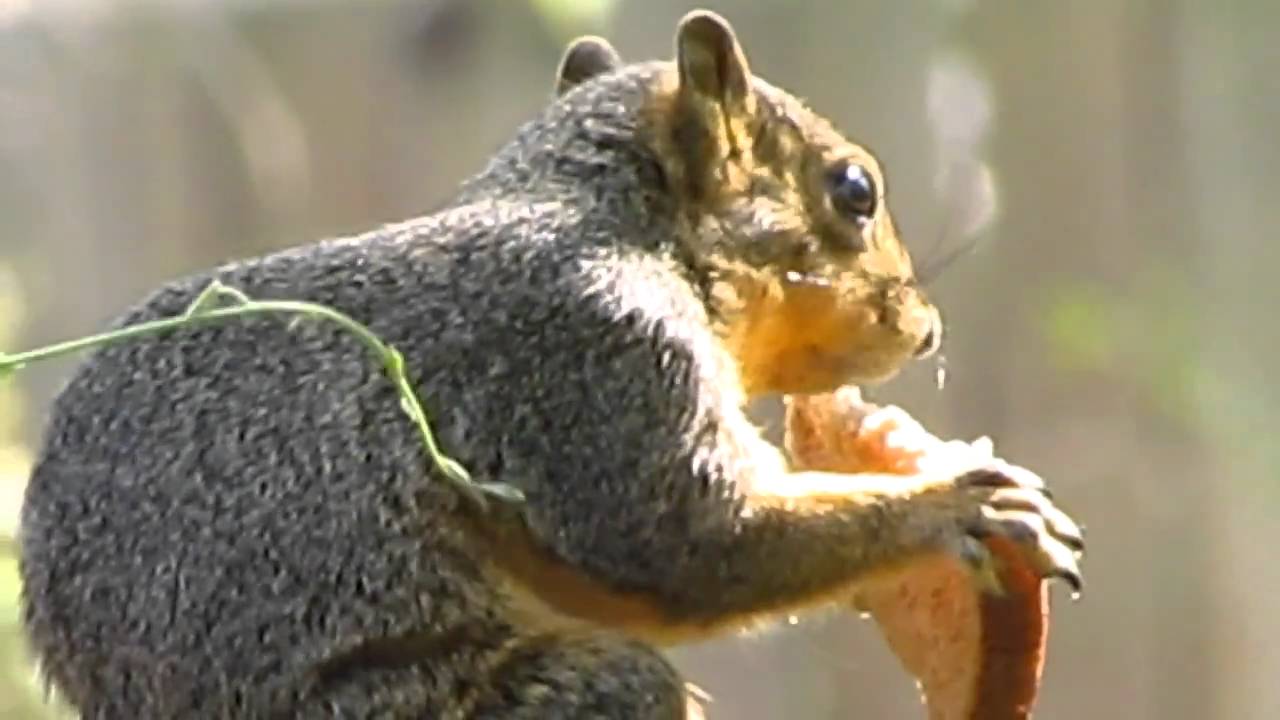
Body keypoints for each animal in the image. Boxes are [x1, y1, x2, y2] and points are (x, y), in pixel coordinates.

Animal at [18, 10, 1083, 719]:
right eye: (853, 189)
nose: (925, 331)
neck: (623, 224)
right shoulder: (598, 360)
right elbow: (691, 543)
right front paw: (951, 506)